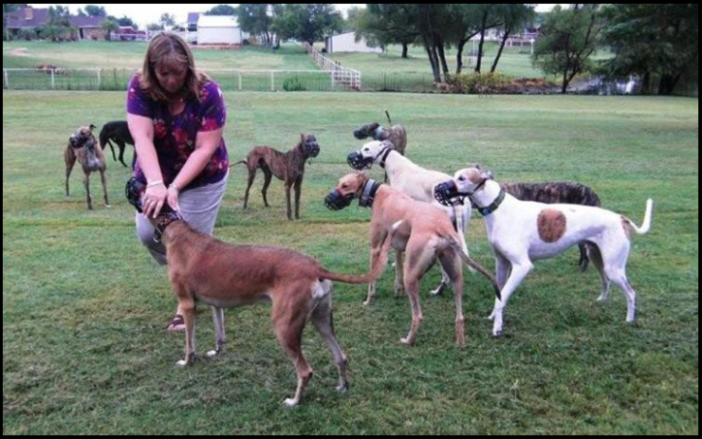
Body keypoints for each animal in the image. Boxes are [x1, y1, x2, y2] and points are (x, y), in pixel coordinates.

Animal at [438, 164, 656, 336]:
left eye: (461, 178)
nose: (439, 187)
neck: (499, 209)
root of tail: (621, 218)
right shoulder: (502, 263)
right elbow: (498, 294)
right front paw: (493, 317)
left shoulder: (522, 266)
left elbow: (503, 298)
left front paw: (497, 328)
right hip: (597, 257)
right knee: (605, 281)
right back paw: (601, 301)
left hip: (613, 267)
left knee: (631, 293)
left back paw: (629, 320)